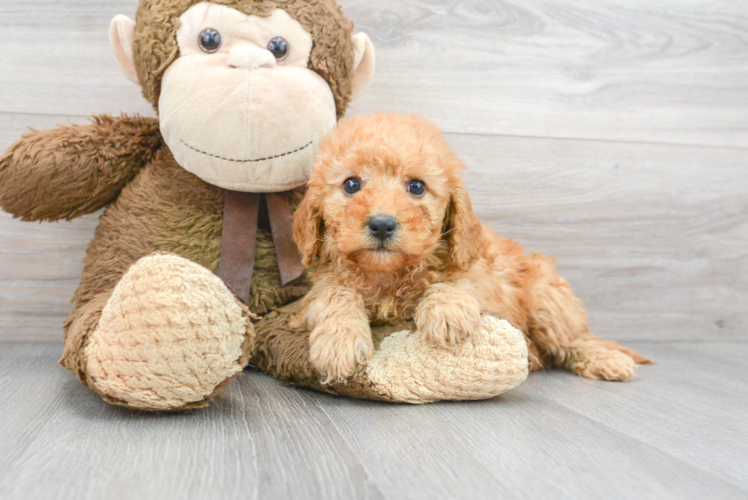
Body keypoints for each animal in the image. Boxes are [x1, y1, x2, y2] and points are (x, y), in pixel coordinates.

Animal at [292, 112, 648, 382]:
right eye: (351, 184)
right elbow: (335, 294)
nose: (381, 224)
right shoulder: (314, 292)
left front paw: (445, 312)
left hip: (547, 300)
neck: (389, 275)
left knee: (577, 340)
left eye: (417, 187)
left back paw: (606, 360)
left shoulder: (480, 273)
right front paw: (340, 341)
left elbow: (458, 281)